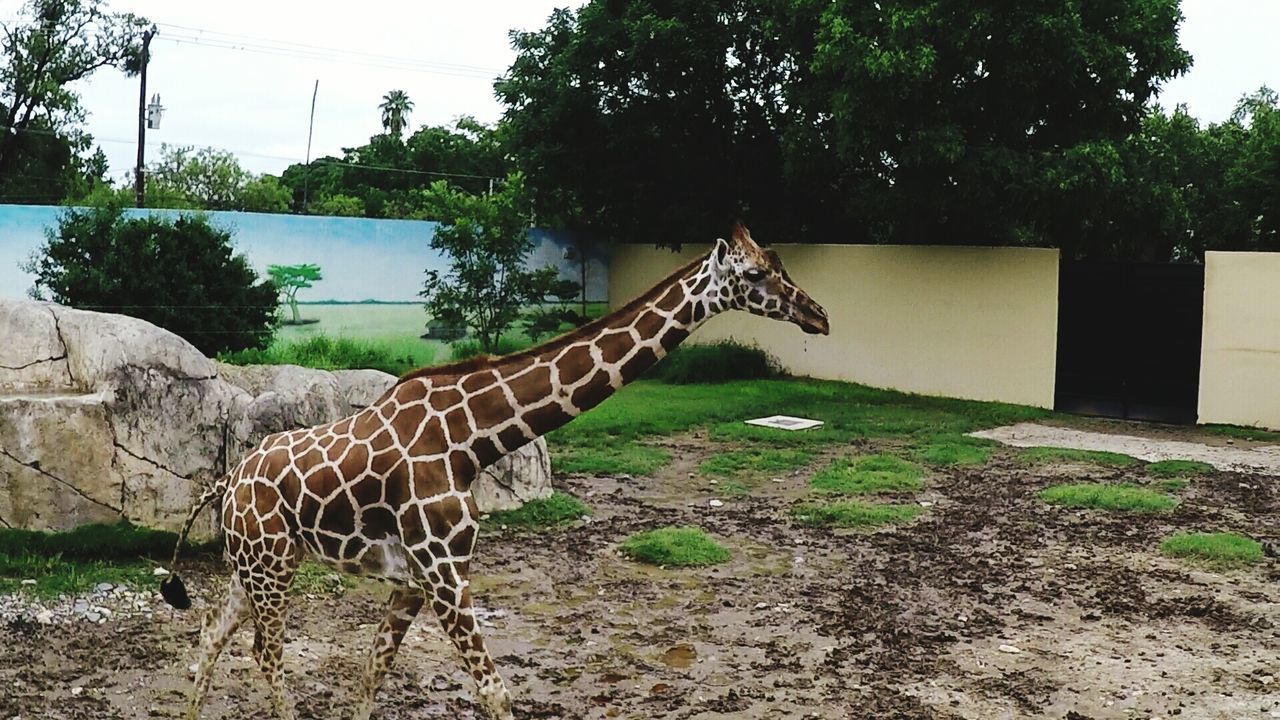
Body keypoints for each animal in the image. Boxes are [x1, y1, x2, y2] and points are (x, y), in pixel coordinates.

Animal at [157, 221, 829, 712]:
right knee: (264, 653)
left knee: (210, 635)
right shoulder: (443, 571)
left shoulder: (418, 577)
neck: (473, 438)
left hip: (255, 564)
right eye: (754, 273)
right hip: (270, 566)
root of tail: (227, 481)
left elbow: (373, 670)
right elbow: (493, 692)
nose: (818, 315)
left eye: (779, 261)